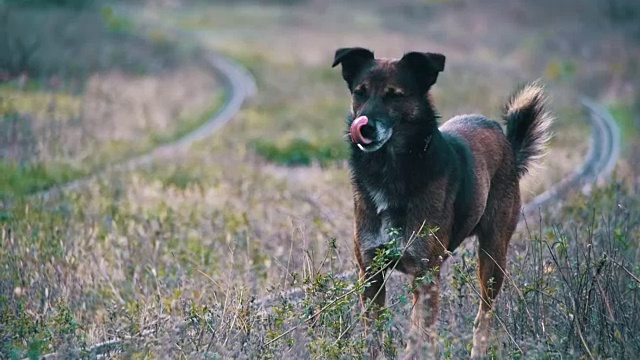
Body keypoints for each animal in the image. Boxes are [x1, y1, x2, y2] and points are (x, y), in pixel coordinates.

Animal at [332, 47, 552, 358]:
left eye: (394, 95)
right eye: (360, 93)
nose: (364, 127)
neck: (392, 169)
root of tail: (506, 140)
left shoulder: (425, 276)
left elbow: (418, 338)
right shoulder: (371, 273)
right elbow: (375, 336)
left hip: (493, 256)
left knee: (483, 316)